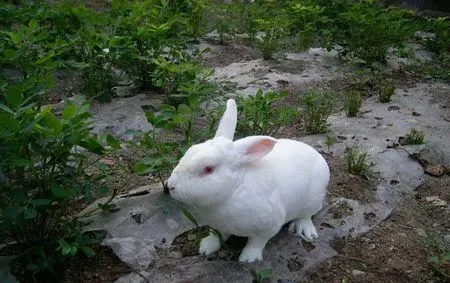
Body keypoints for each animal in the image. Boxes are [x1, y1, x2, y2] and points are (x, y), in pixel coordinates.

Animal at [167, 98, 328, 262]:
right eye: (189, 151)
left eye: (208, 169)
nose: (171, 186)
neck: (232, 192)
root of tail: (316, 154)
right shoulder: (218, 226)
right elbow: (217, 236)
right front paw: (206, 247)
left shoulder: (268, 226)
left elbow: (257, 242)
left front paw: (248, 258)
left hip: (312, 198)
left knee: (306, 216)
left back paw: (305, 231)